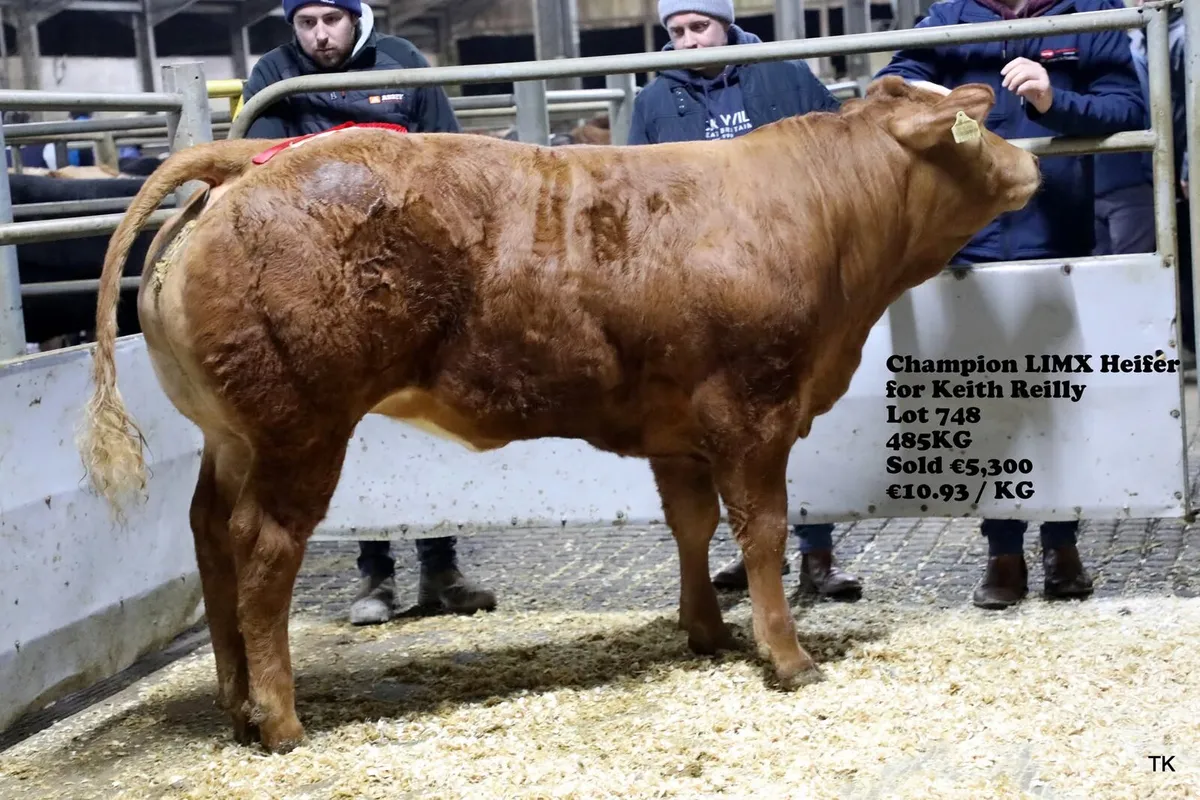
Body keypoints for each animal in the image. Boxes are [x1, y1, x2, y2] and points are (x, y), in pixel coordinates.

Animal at [78, 76, 1040, 754]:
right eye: (977, 123)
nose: (1031, 162)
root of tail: (248, 163)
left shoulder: (676, 429)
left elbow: (691, 525)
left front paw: (705, 631)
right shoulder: (754, 410)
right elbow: (761, 530)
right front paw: (788, 657)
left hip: (232, 436)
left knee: (210, 538)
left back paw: (236, 703)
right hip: (299, 432)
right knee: (264, 552)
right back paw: (278, 720)